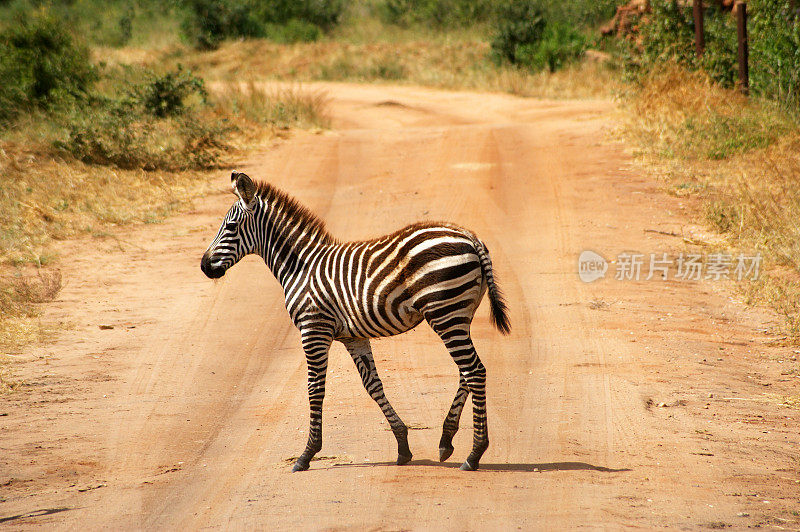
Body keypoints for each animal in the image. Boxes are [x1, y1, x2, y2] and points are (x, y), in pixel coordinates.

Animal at [202, 170, 512, 470]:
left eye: (230, 227)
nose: (204, 266)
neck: (300, 267)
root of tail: (471, 237)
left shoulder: (313, 329)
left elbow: (315, 389)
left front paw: (307, 454)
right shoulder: (353, 337)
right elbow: (373, 385)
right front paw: (402, 446)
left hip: (445, 312)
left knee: (475, 371)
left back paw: (474, 454)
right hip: (460, 313)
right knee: (466, 372)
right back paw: (447, 439)